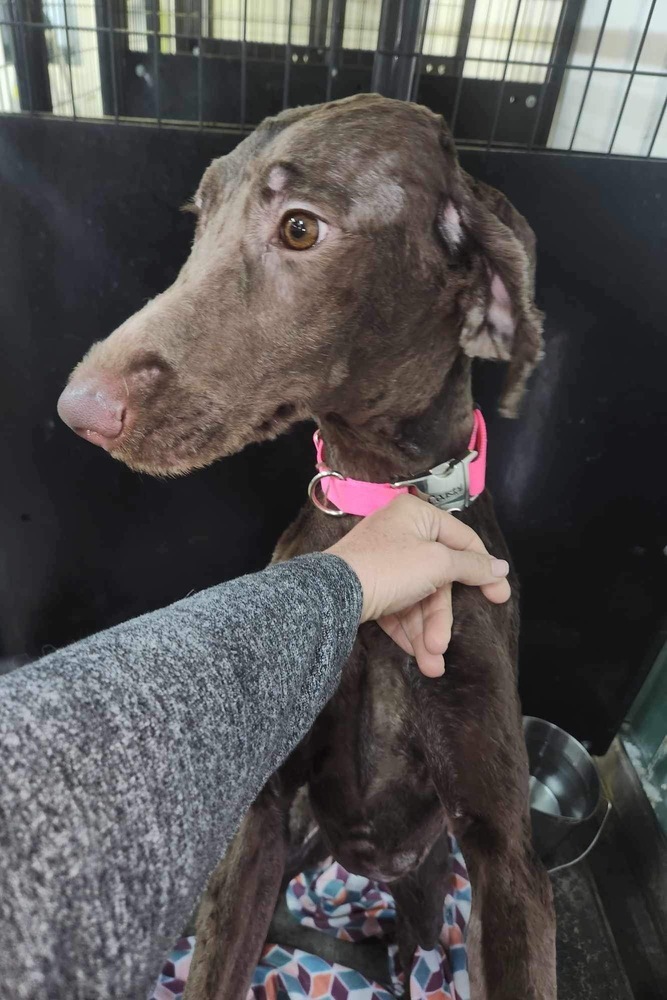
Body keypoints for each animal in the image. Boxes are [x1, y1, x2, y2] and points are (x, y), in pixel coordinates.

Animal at [58, 95, 560, 1000]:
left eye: (299, 228)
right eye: (201, 216)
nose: (78, 410)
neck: (377, 501)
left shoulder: (505, 861)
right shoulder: (258, 821)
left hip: (426, 883)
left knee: (413, 945)